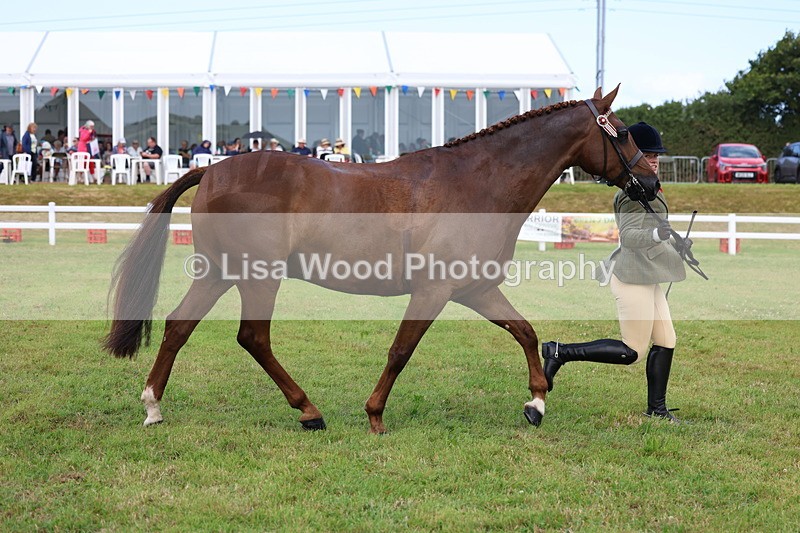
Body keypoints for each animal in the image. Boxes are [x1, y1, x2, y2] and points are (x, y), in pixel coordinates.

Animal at [104, 86, 659, 433]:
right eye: (622, 132)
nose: (651, 183)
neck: (477, 183)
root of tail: (214, 171)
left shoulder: (475, 288)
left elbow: (524, 331)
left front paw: (537, 402)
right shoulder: (434, 291)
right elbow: (400, 351)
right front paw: (374, 415)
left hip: (221, 273)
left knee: (179, 326)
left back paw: (153, 407)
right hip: (257, 277)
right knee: (252, 338)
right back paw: (308, 411)